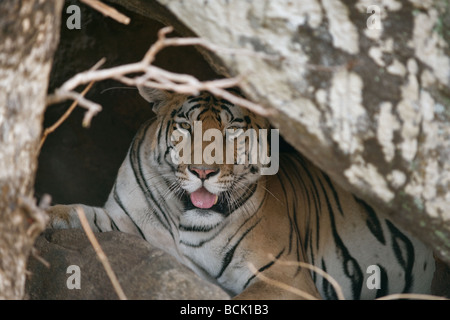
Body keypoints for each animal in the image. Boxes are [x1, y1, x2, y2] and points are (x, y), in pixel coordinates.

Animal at [47, 85, 438, 300]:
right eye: (185, 127)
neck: (185, 218)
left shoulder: (284, 276)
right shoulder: (127, 223)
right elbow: (81, 213)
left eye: (233, 130)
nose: (203, 172)